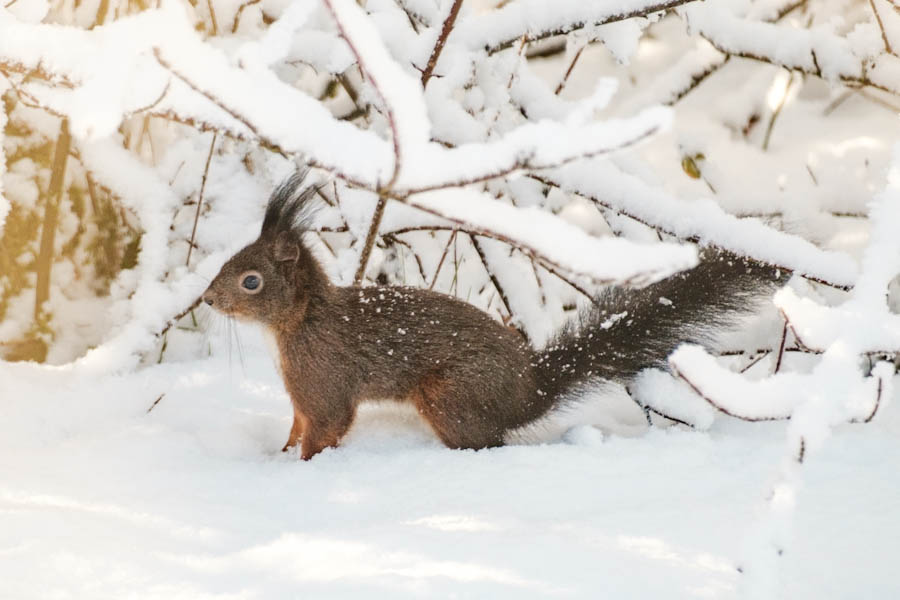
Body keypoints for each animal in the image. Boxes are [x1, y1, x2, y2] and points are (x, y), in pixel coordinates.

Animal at [200, 171, 784, 462]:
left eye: (250, 280)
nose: (206, 298)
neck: (300, 322)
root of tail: (528, 393)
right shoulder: (300, 397)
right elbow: (296, 427)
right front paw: (278, 454)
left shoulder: (322, 380)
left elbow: (325, 428)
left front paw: (302, 469)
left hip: (450, 395)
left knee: (487, 442)